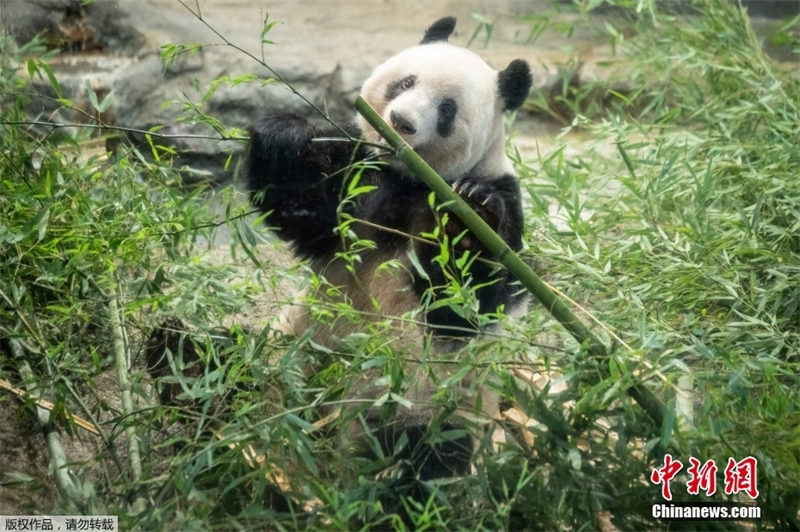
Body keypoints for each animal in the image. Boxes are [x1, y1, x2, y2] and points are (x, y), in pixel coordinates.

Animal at [244, 16, 532, 480]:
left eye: (447, 110)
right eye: (406, 82)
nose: (401, 120)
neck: (410, 177)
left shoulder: (503, 200)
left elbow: (465, 304)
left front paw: (470, 212)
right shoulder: (360, 178)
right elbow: (303, 206)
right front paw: (285, 135)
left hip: (423, 402)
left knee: (427, 450)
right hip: (284, 353)